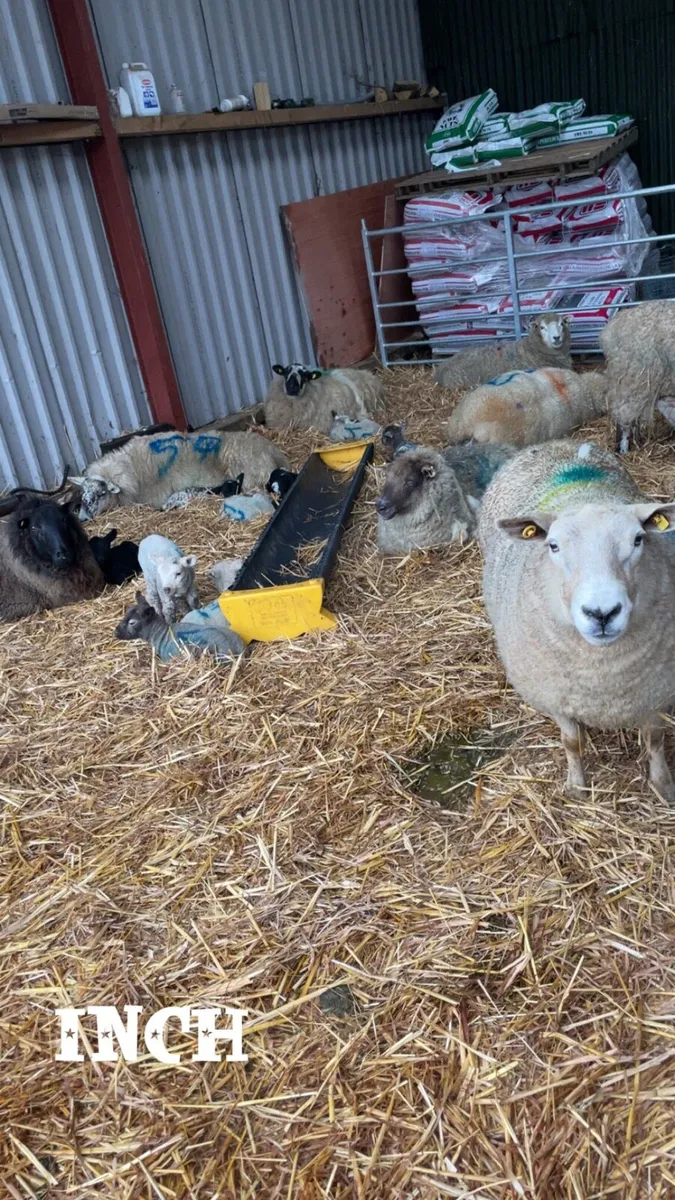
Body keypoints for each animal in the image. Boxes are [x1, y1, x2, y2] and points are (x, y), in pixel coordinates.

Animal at [478, 438, 675, 801]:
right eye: (553, 546)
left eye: (638, 539)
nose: (602, 613)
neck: (602, 677)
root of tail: (555, 443)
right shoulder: (556, 696)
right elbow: (571, 742)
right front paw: (577, 787)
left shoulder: (655, 691)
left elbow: (655, 740)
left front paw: (663, 785)